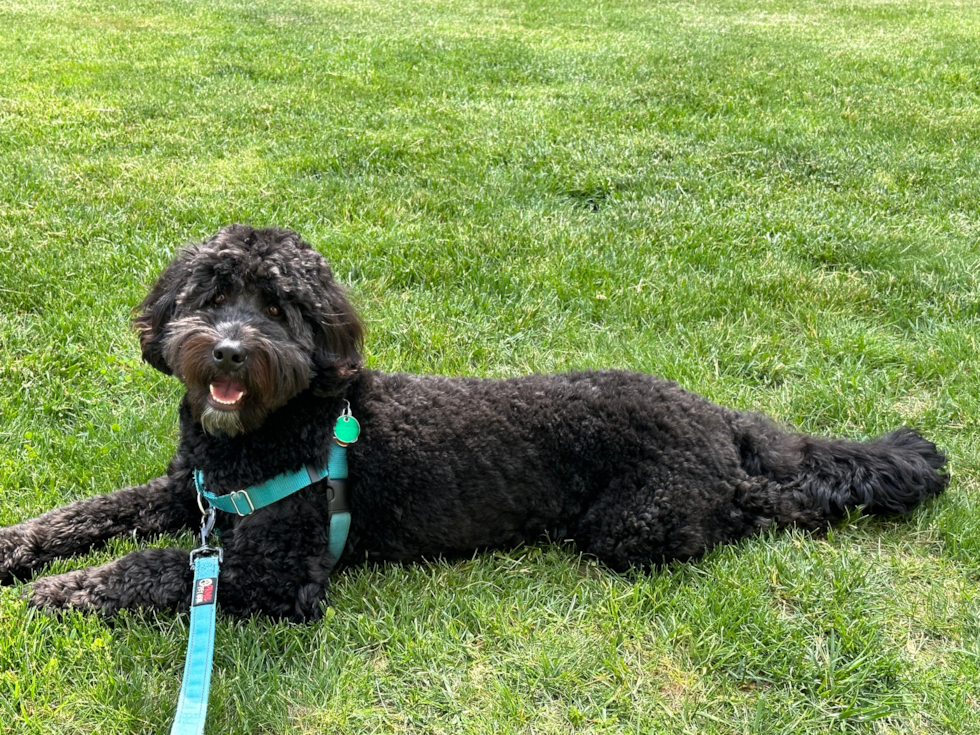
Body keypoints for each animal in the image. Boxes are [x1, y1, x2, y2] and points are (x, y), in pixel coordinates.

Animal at [0, 224, 948, 620]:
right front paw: (19, 548)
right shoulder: (185, 491)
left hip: (635, 523)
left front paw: (62, 590)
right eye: (209, 292)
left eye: (277, 306)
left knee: (766, 505)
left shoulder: (279, 573)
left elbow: (155, 565)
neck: (266, 435)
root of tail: (712, 413)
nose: (230, 352)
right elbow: (88, 512)